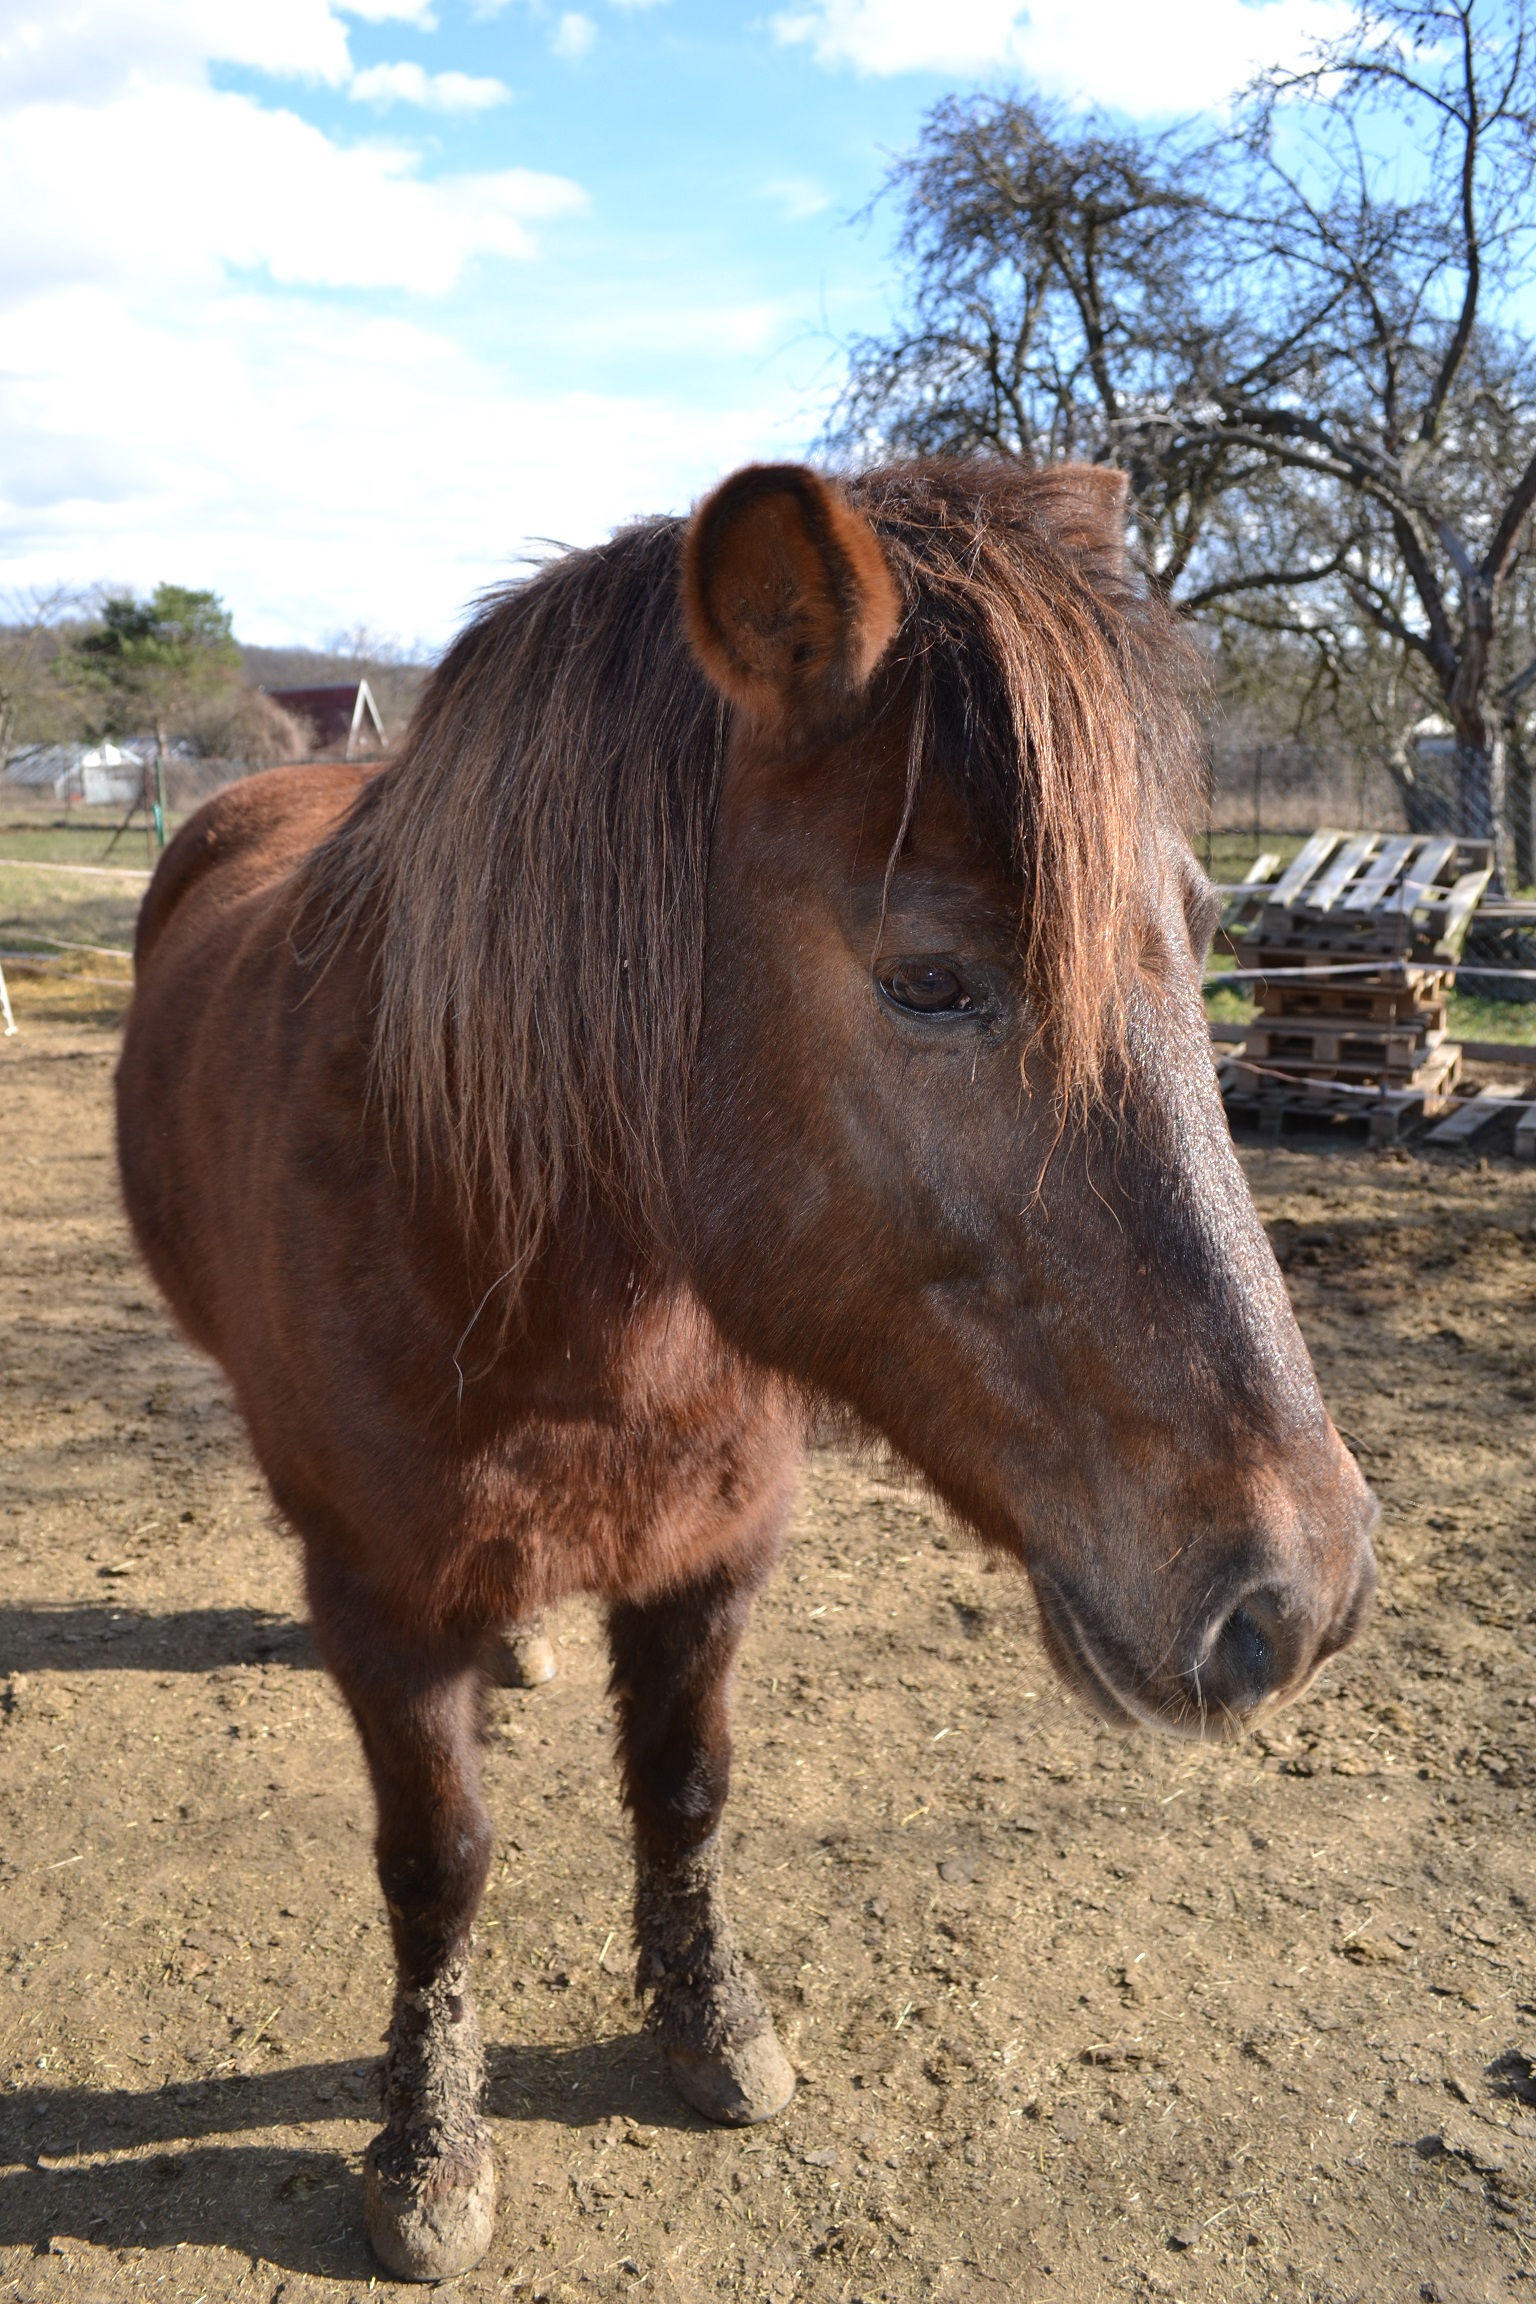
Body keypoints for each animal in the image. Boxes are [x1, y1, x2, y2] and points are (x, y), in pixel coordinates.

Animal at [113, 458, 1372, 2276]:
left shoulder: (713, 1556)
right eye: (930, 979)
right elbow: (440, 1863)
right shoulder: (384, 1600)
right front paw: (428, 2150)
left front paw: (712, 2023)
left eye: (1205, 934)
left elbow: (686, 1788)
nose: (1301, 1591)